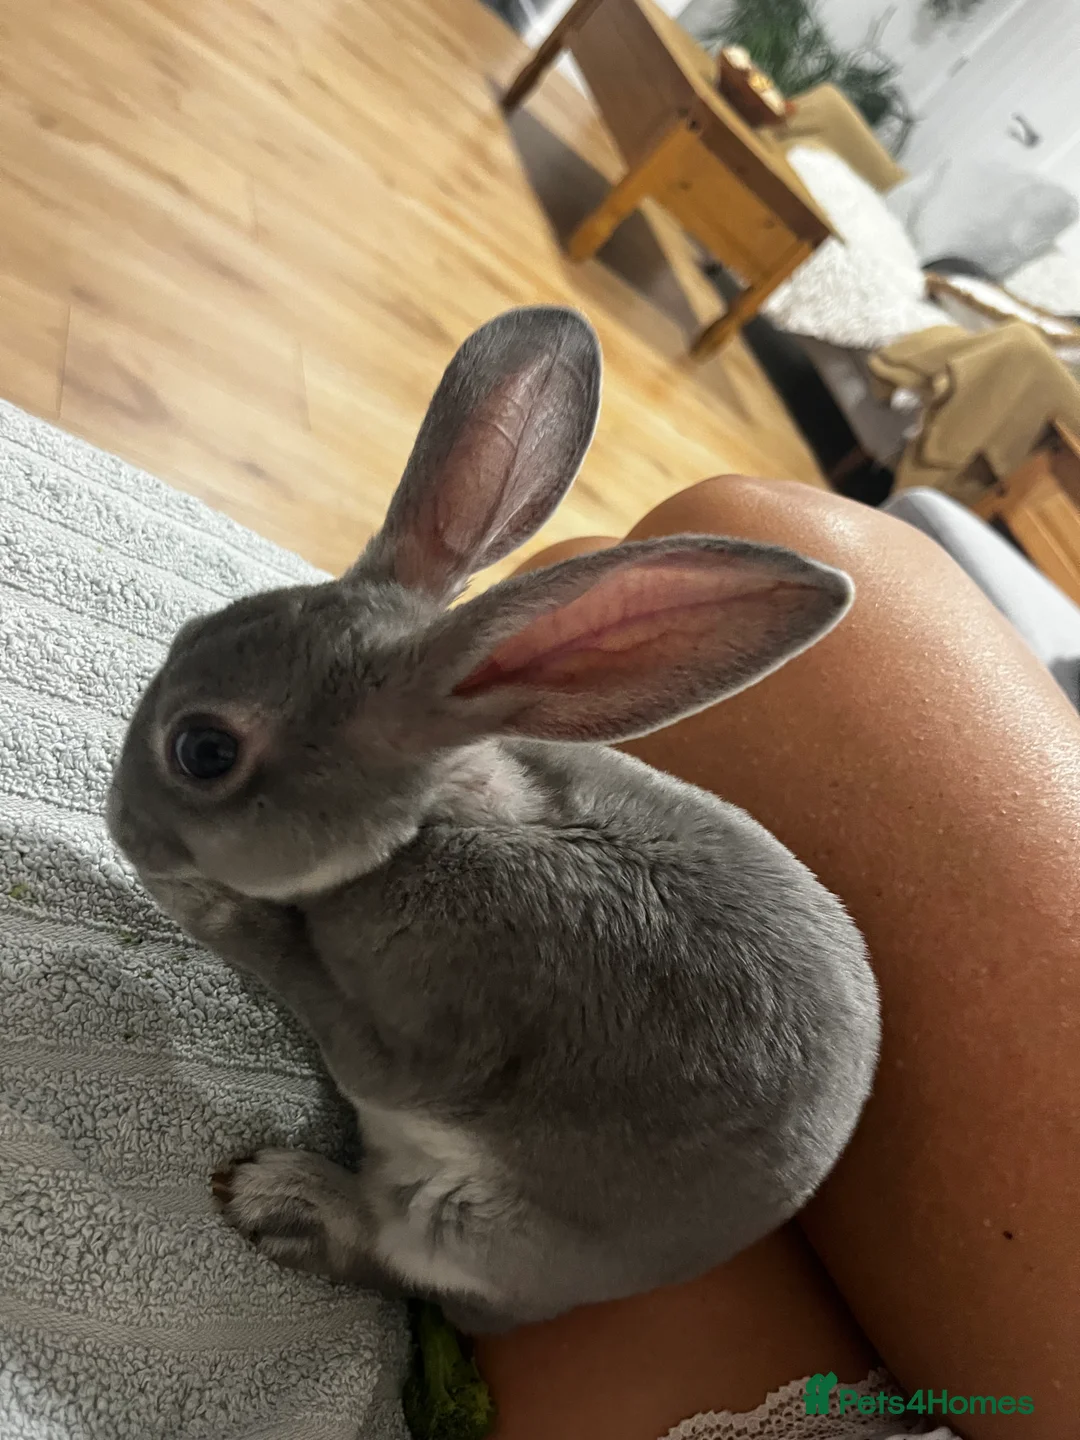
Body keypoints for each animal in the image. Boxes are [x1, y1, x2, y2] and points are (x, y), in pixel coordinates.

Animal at [107, 304, 880, 1333]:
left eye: (203, 751)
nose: (122, 822)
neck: (430, 829)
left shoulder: (424, 1038)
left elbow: (315, 994)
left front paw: (208, 906)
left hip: (469, 1221)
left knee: (400, 1262)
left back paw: (282, 1200)